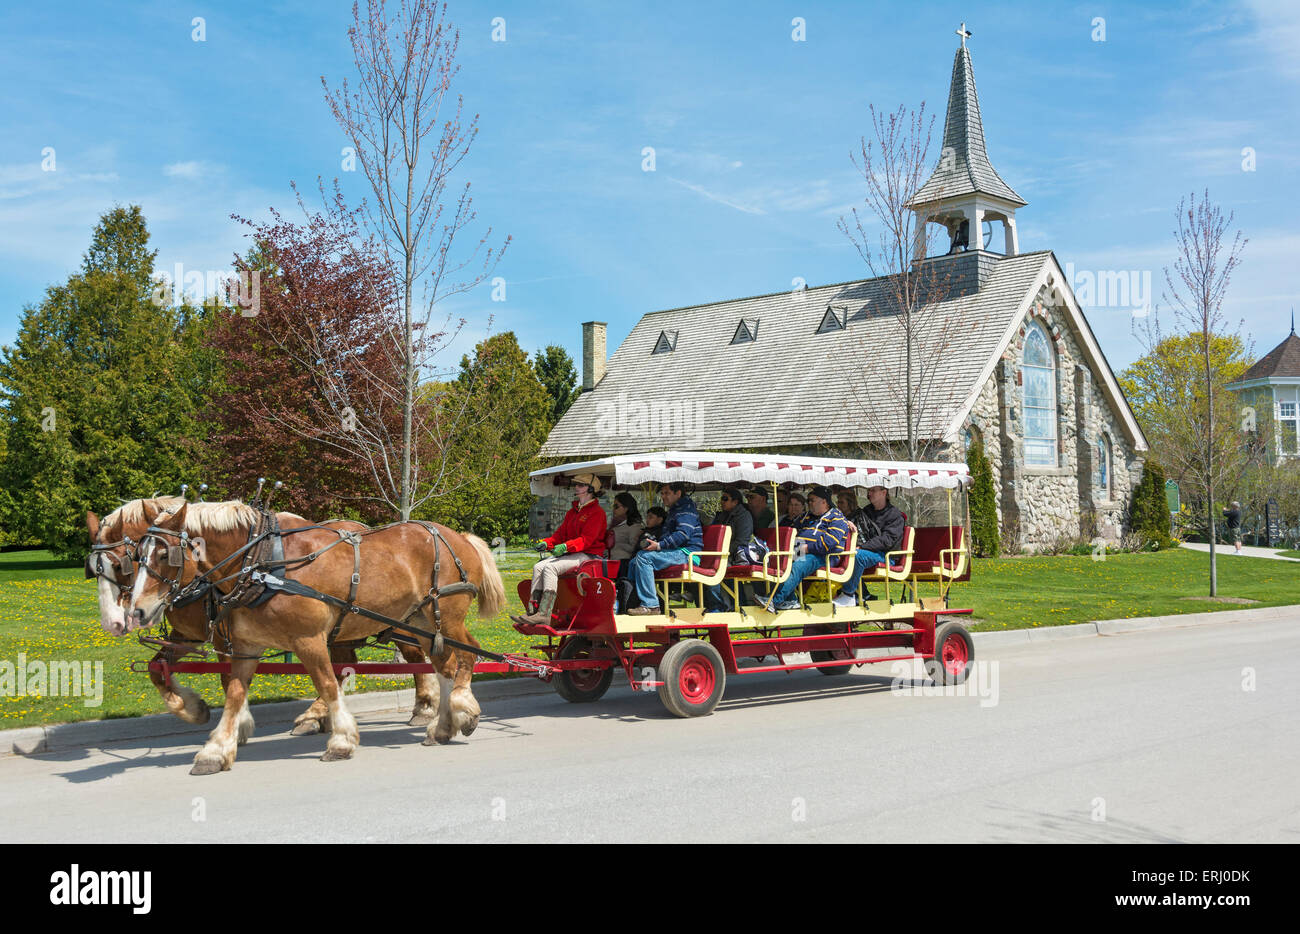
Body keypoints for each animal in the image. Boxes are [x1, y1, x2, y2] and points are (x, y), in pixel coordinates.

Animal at [87, 502, 441, 744]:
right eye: (93, 569)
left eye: (120, 564)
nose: (116, 622)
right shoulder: (189, 635)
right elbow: (157, 668)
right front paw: (192, 708)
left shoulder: (224, 638)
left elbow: (227, 680)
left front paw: (236, 725)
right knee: (347, 665)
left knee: (410, 655)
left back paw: (423, 707)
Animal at [125, 504, 501, 775]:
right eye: (137, 555)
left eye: (165, 555)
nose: (136, 611)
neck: (264, 563)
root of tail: (461, 537)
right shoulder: (245, 647)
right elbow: (233, 694)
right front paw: (215, 750)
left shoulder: (308, 639)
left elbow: (328, 685)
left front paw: (341, 741)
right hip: (424, 622)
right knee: (445, 667)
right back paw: (443, 726)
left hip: (445, 617)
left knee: (468, 656)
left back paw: (463, 709)